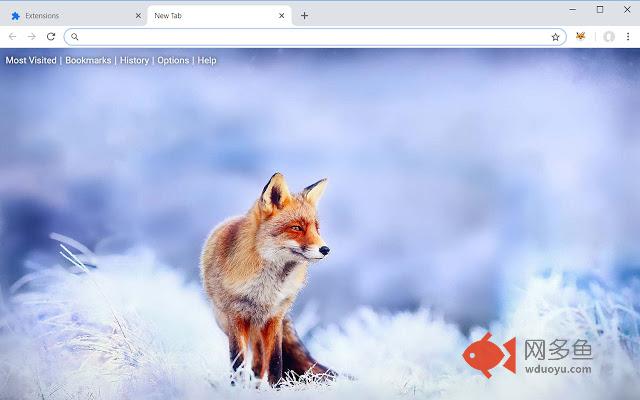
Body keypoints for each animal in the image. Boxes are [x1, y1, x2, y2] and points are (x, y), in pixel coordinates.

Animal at [200, 172, 335, 386]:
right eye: (297, 227)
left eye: (317, 228)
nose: (325, 249)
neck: (265, 290)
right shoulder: (236, 317)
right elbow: (237, 363)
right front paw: (237, 387)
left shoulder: (274, 317)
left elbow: (275, 362)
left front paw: (277, 388)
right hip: (228, 323)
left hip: (261, 327)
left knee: (259, 363)